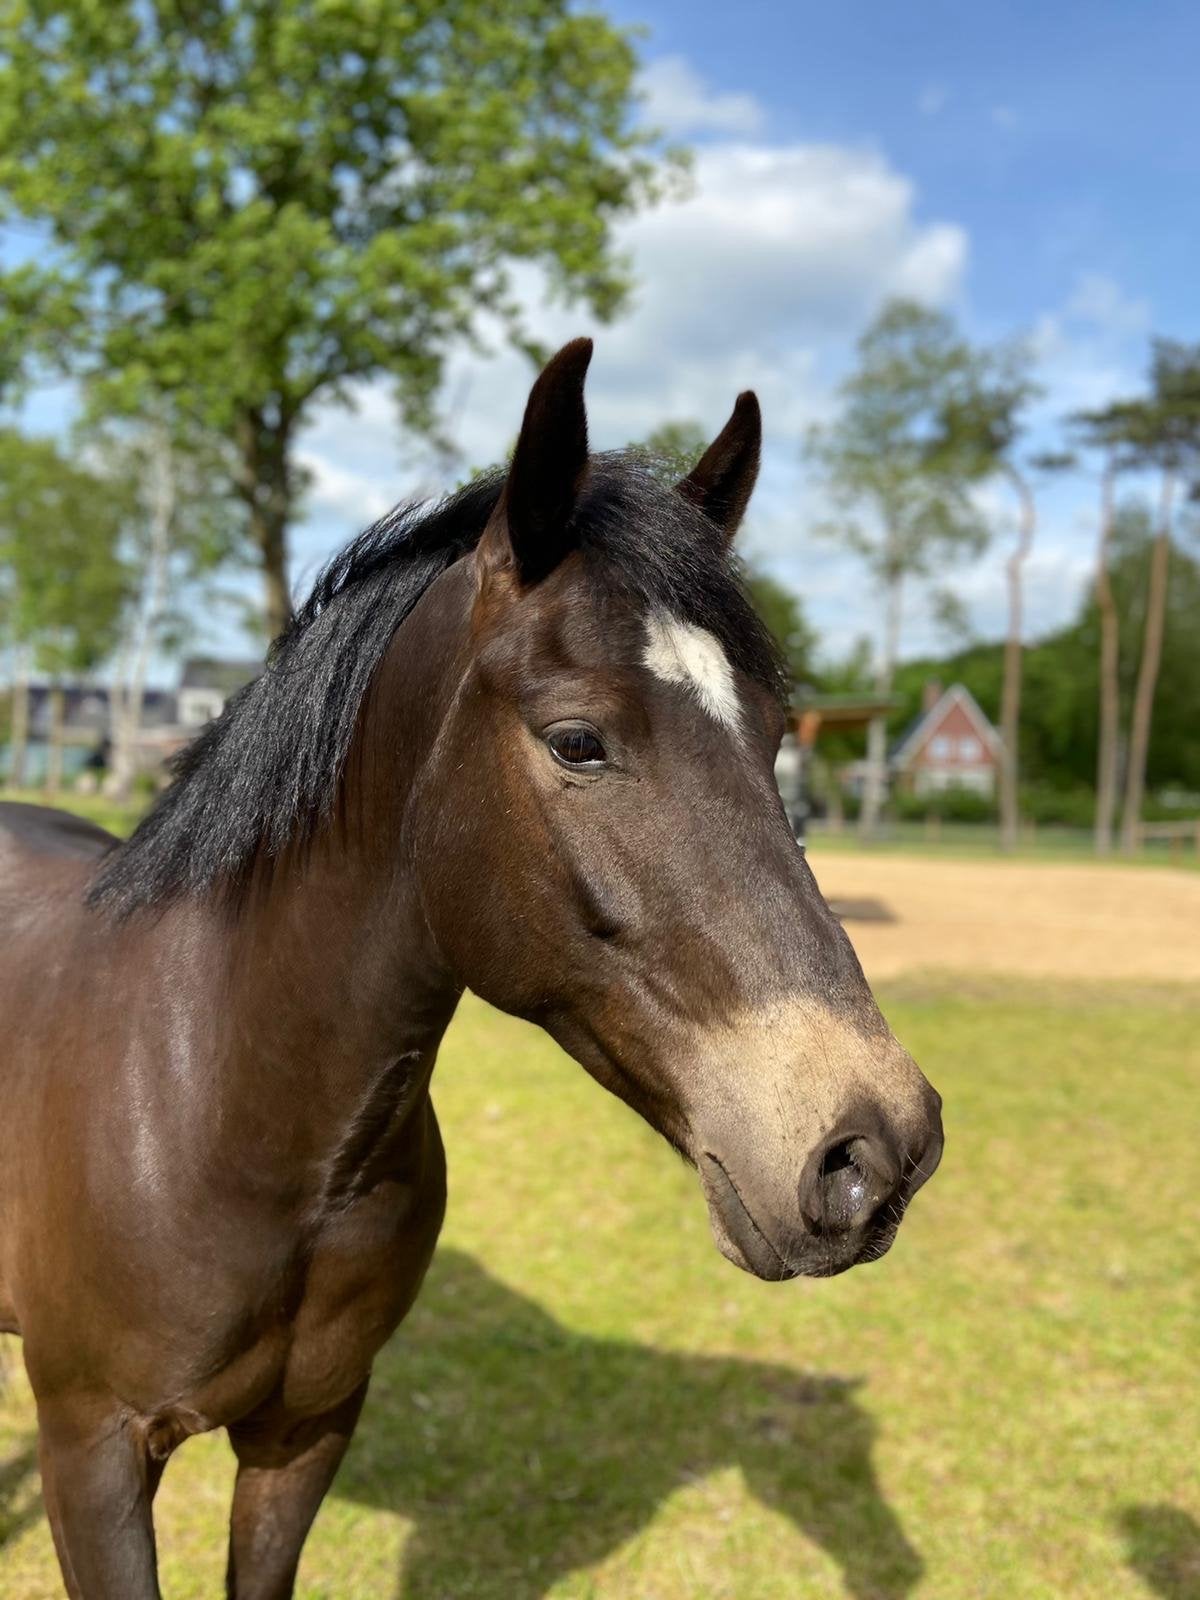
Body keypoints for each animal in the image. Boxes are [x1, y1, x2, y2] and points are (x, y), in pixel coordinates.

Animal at [0, 339, 943, 1599]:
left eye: (775, 733)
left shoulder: (306, 1431)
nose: (877, 1147)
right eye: (577, 739)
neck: (225, 1106)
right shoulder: (93, 1452)